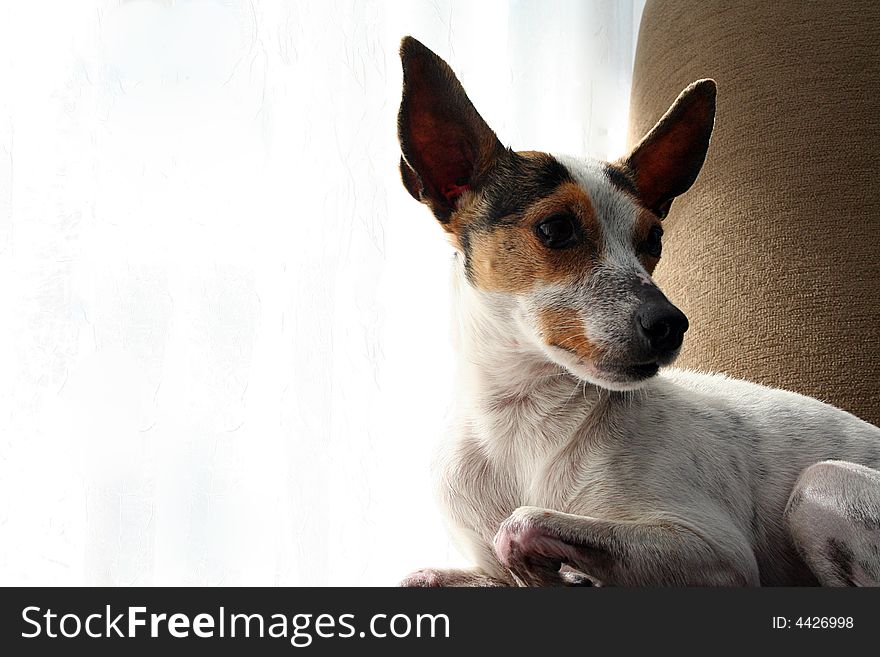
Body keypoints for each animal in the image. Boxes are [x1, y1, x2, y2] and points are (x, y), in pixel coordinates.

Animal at [398, 38, 880, 588]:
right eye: (555, 228)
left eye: (654, 239)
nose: (671, 324)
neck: (519, 420)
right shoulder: (481, 564)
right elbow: (441, 572)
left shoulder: (721, 555)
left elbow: (523, 523)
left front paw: (554, 567)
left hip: (822, 483)